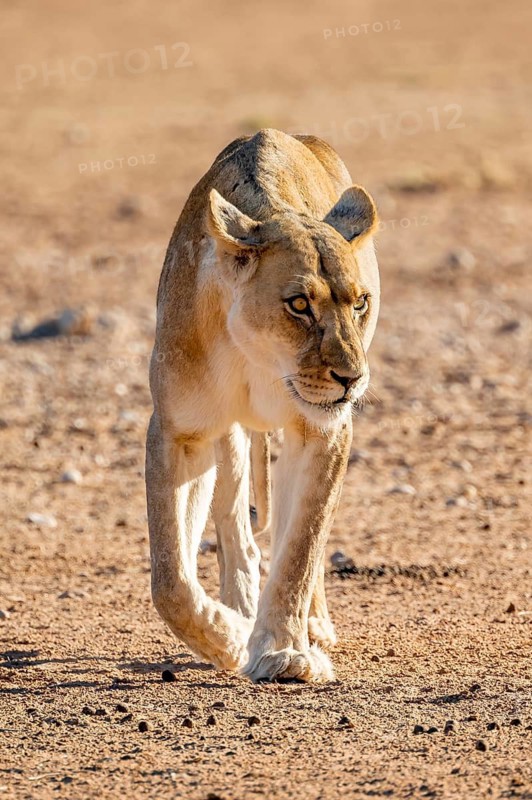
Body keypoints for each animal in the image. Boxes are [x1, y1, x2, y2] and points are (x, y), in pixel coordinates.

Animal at [146, 129, 380, 682]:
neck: (258, 356)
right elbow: (170, 578)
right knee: (235, 526)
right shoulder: (179, 432)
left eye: (360, 302)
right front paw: (229, 637)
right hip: (228, 436)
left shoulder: (323, 432)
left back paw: (310, 625)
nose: (352, 379)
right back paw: (240, 606)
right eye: (299, 304)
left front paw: (283, 651)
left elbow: (300, 548)